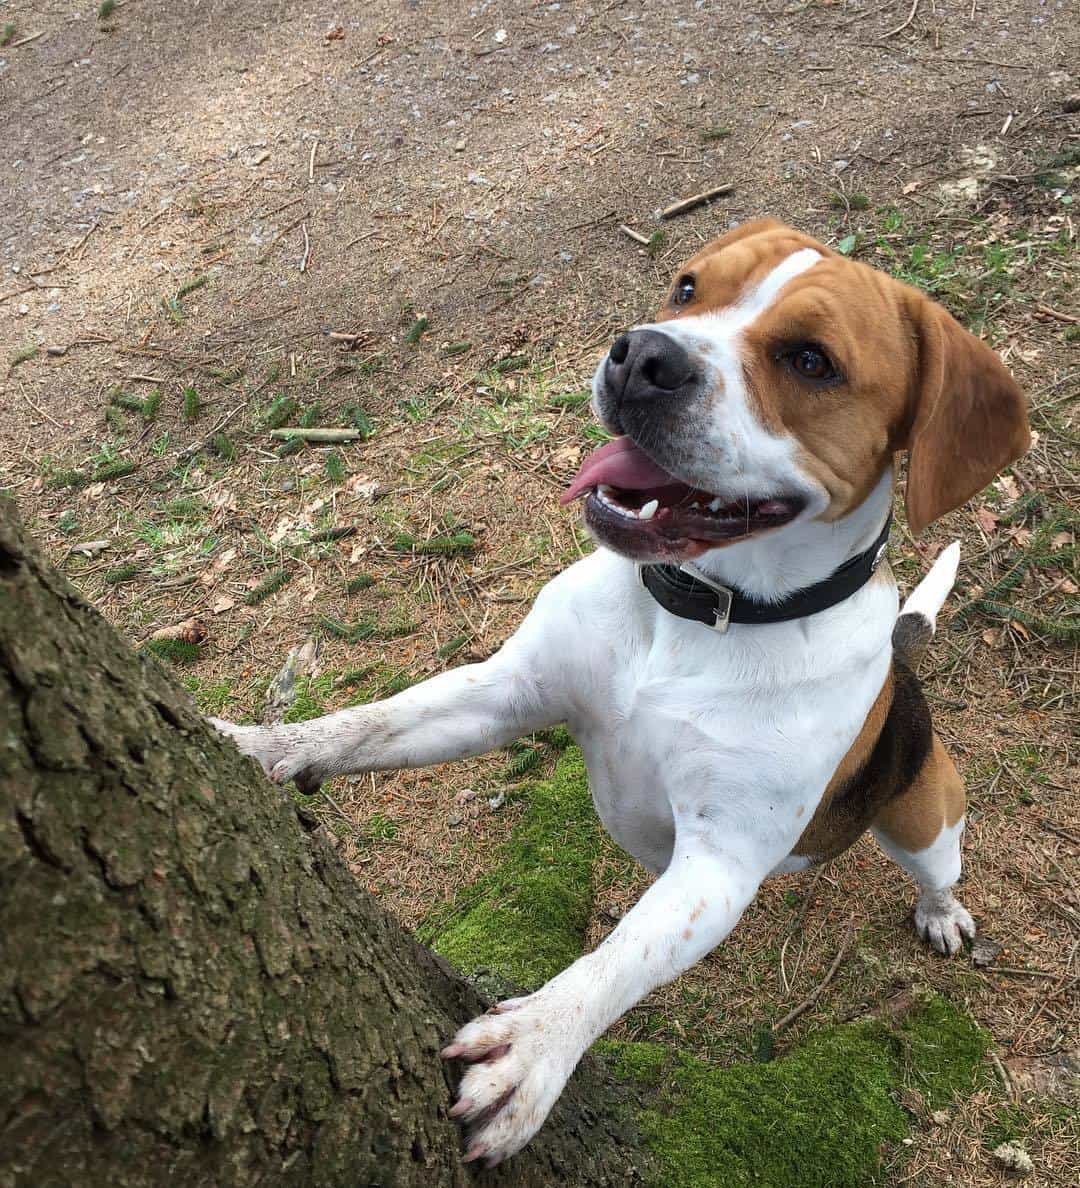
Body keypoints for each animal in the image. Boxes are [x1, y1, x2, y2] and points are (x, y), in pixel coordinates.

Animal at [210, 218, 1026, 1164]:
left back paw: (942, 913)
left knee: (936, 870)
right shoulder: (503, 693)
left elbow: (618, 960)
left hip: (926, 820)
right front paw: (260, 745)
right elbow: (367, 724)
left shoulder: (716, 864)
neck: (703, 613)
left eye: (811, 361)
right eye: (687, 288)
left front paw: (535, 1046)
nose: (642, 356)